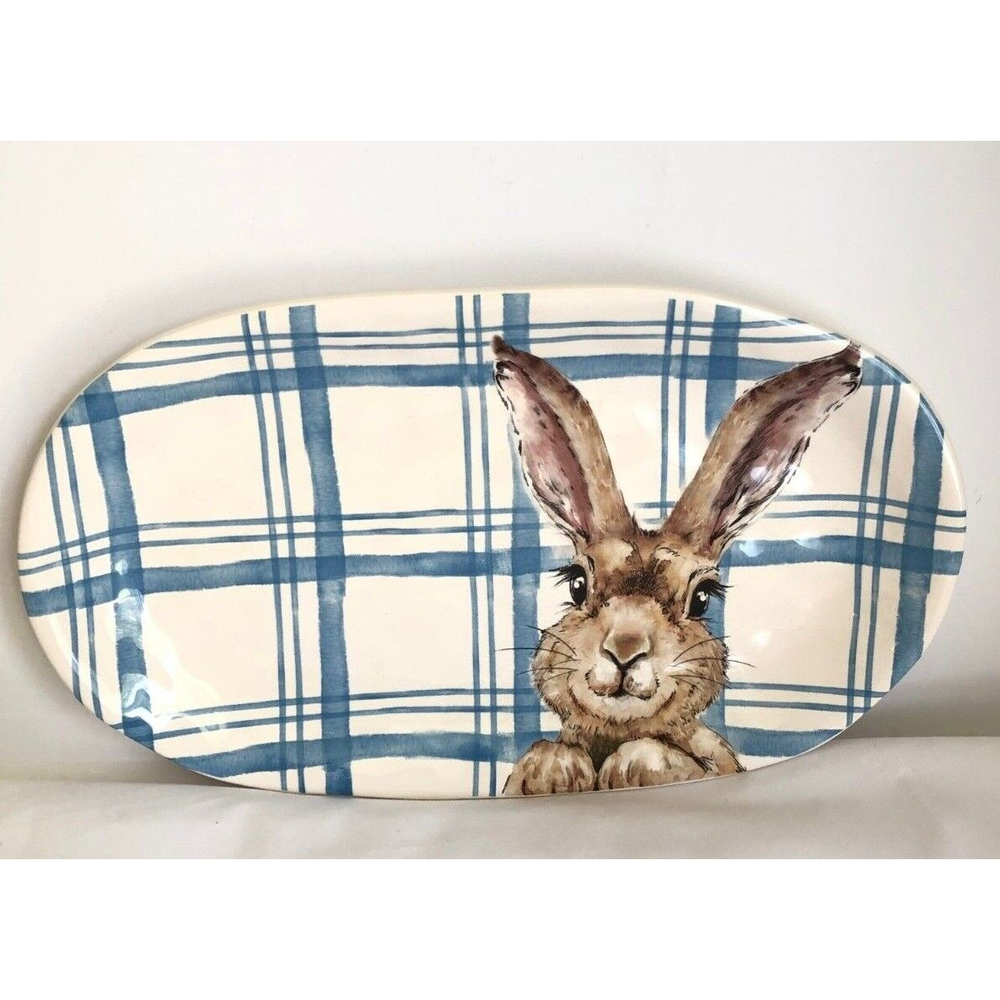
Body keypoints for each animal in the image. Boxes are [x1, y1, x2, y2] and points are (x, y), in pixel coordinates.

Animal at [493, 334, 862, 795]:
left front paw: (625, 768)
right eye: (577, 585)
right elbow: (551, 757)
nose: (625, 651)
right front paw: (558, 770)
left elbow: (647, 757)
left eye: (702, 598)